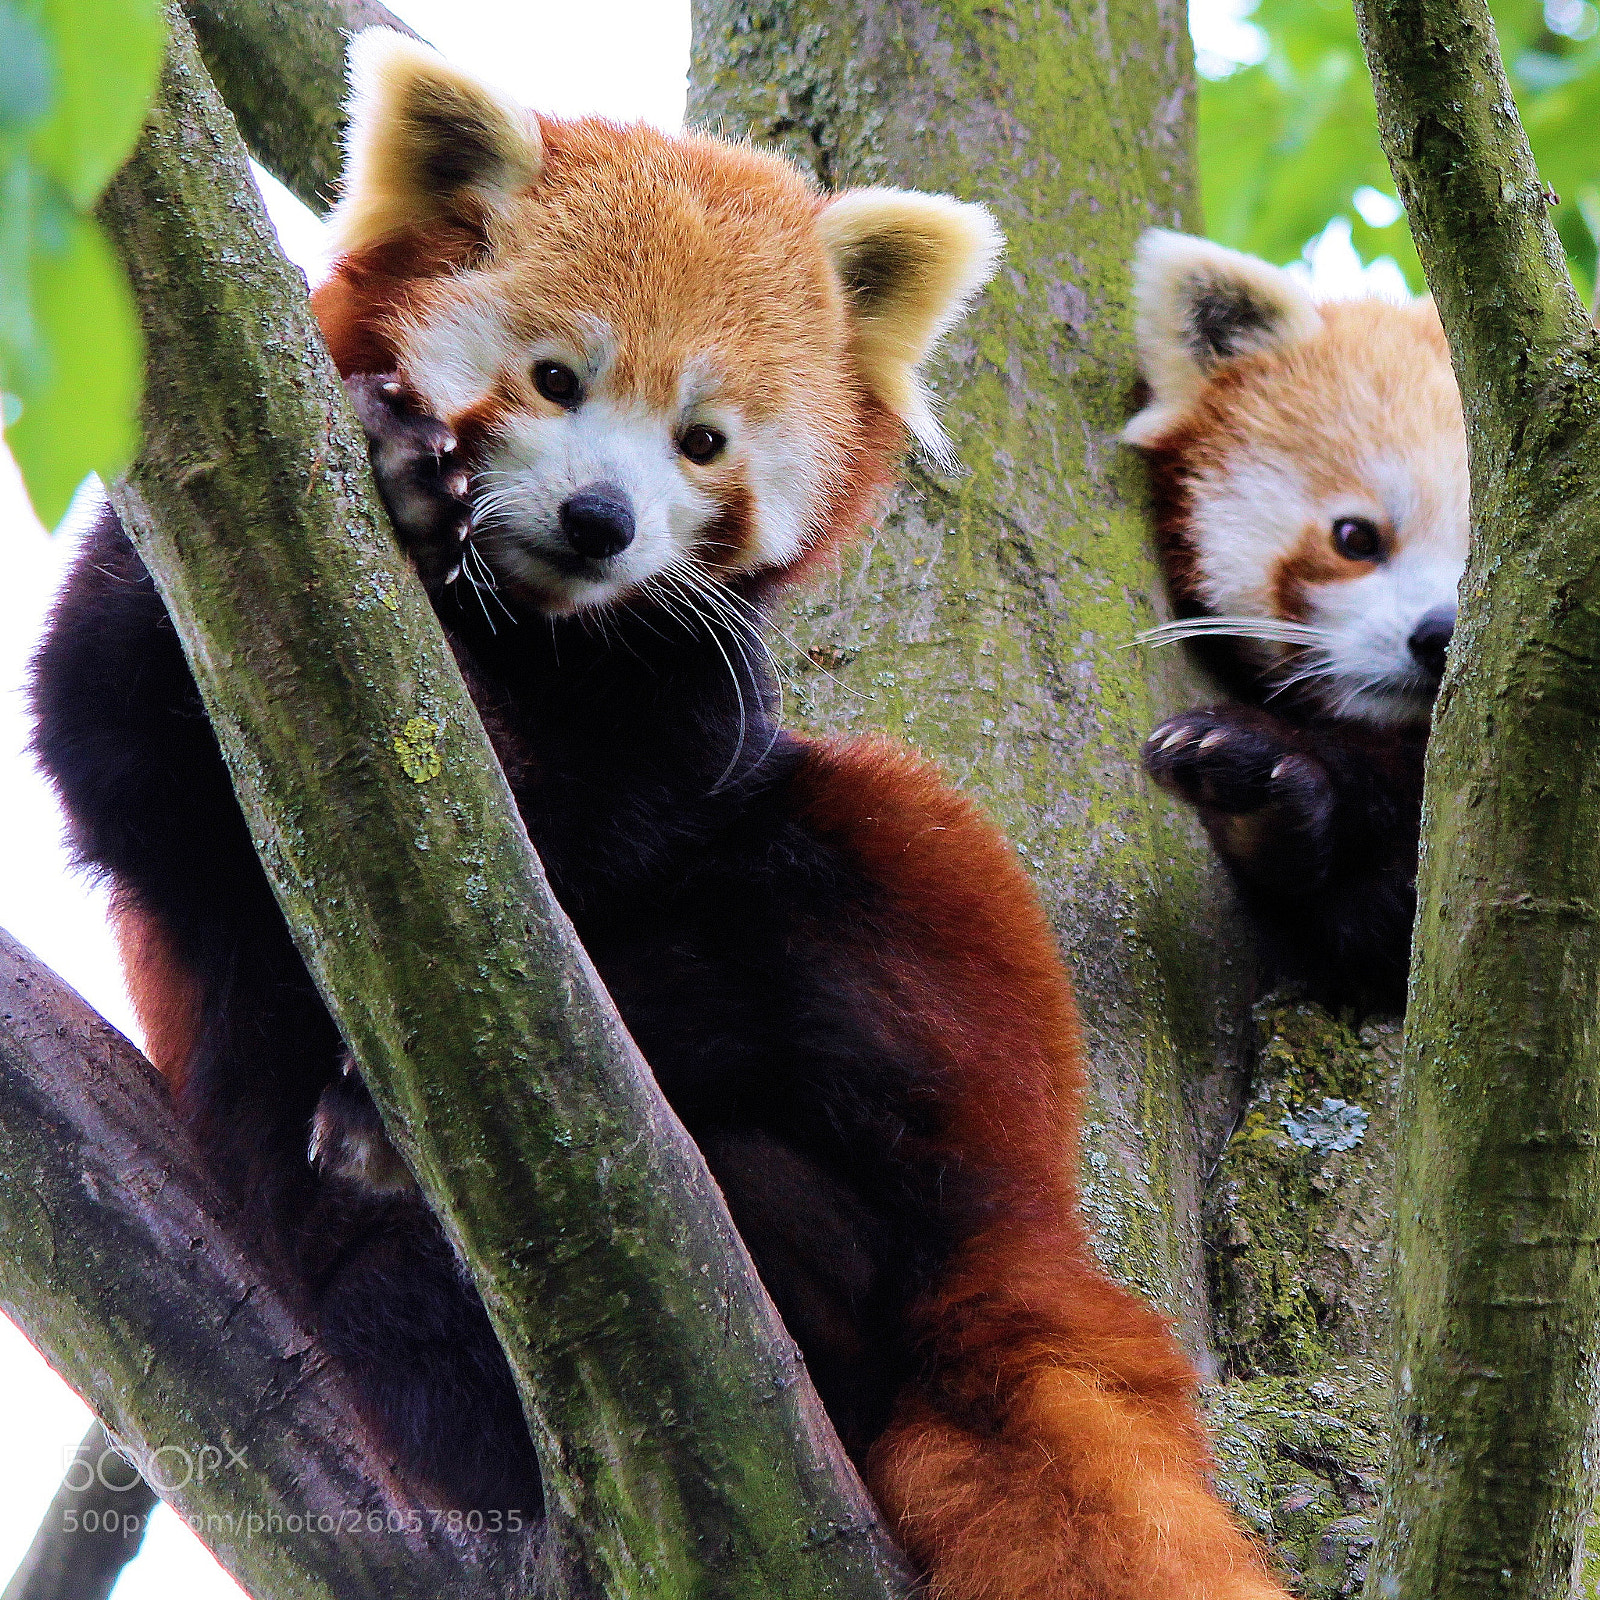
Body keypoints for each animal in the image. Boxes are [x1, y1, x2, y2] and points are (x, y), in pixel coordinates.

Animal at [31, 38, 1286, 1600]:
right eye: (554, 378)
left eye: (703, 441)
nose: (598, 519)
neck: (518, 634)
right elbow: (117, 758)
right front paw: (395, 470)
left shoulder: (692, 692)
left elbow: (600, 831)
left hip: (942, 1021)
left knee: (849, 872)